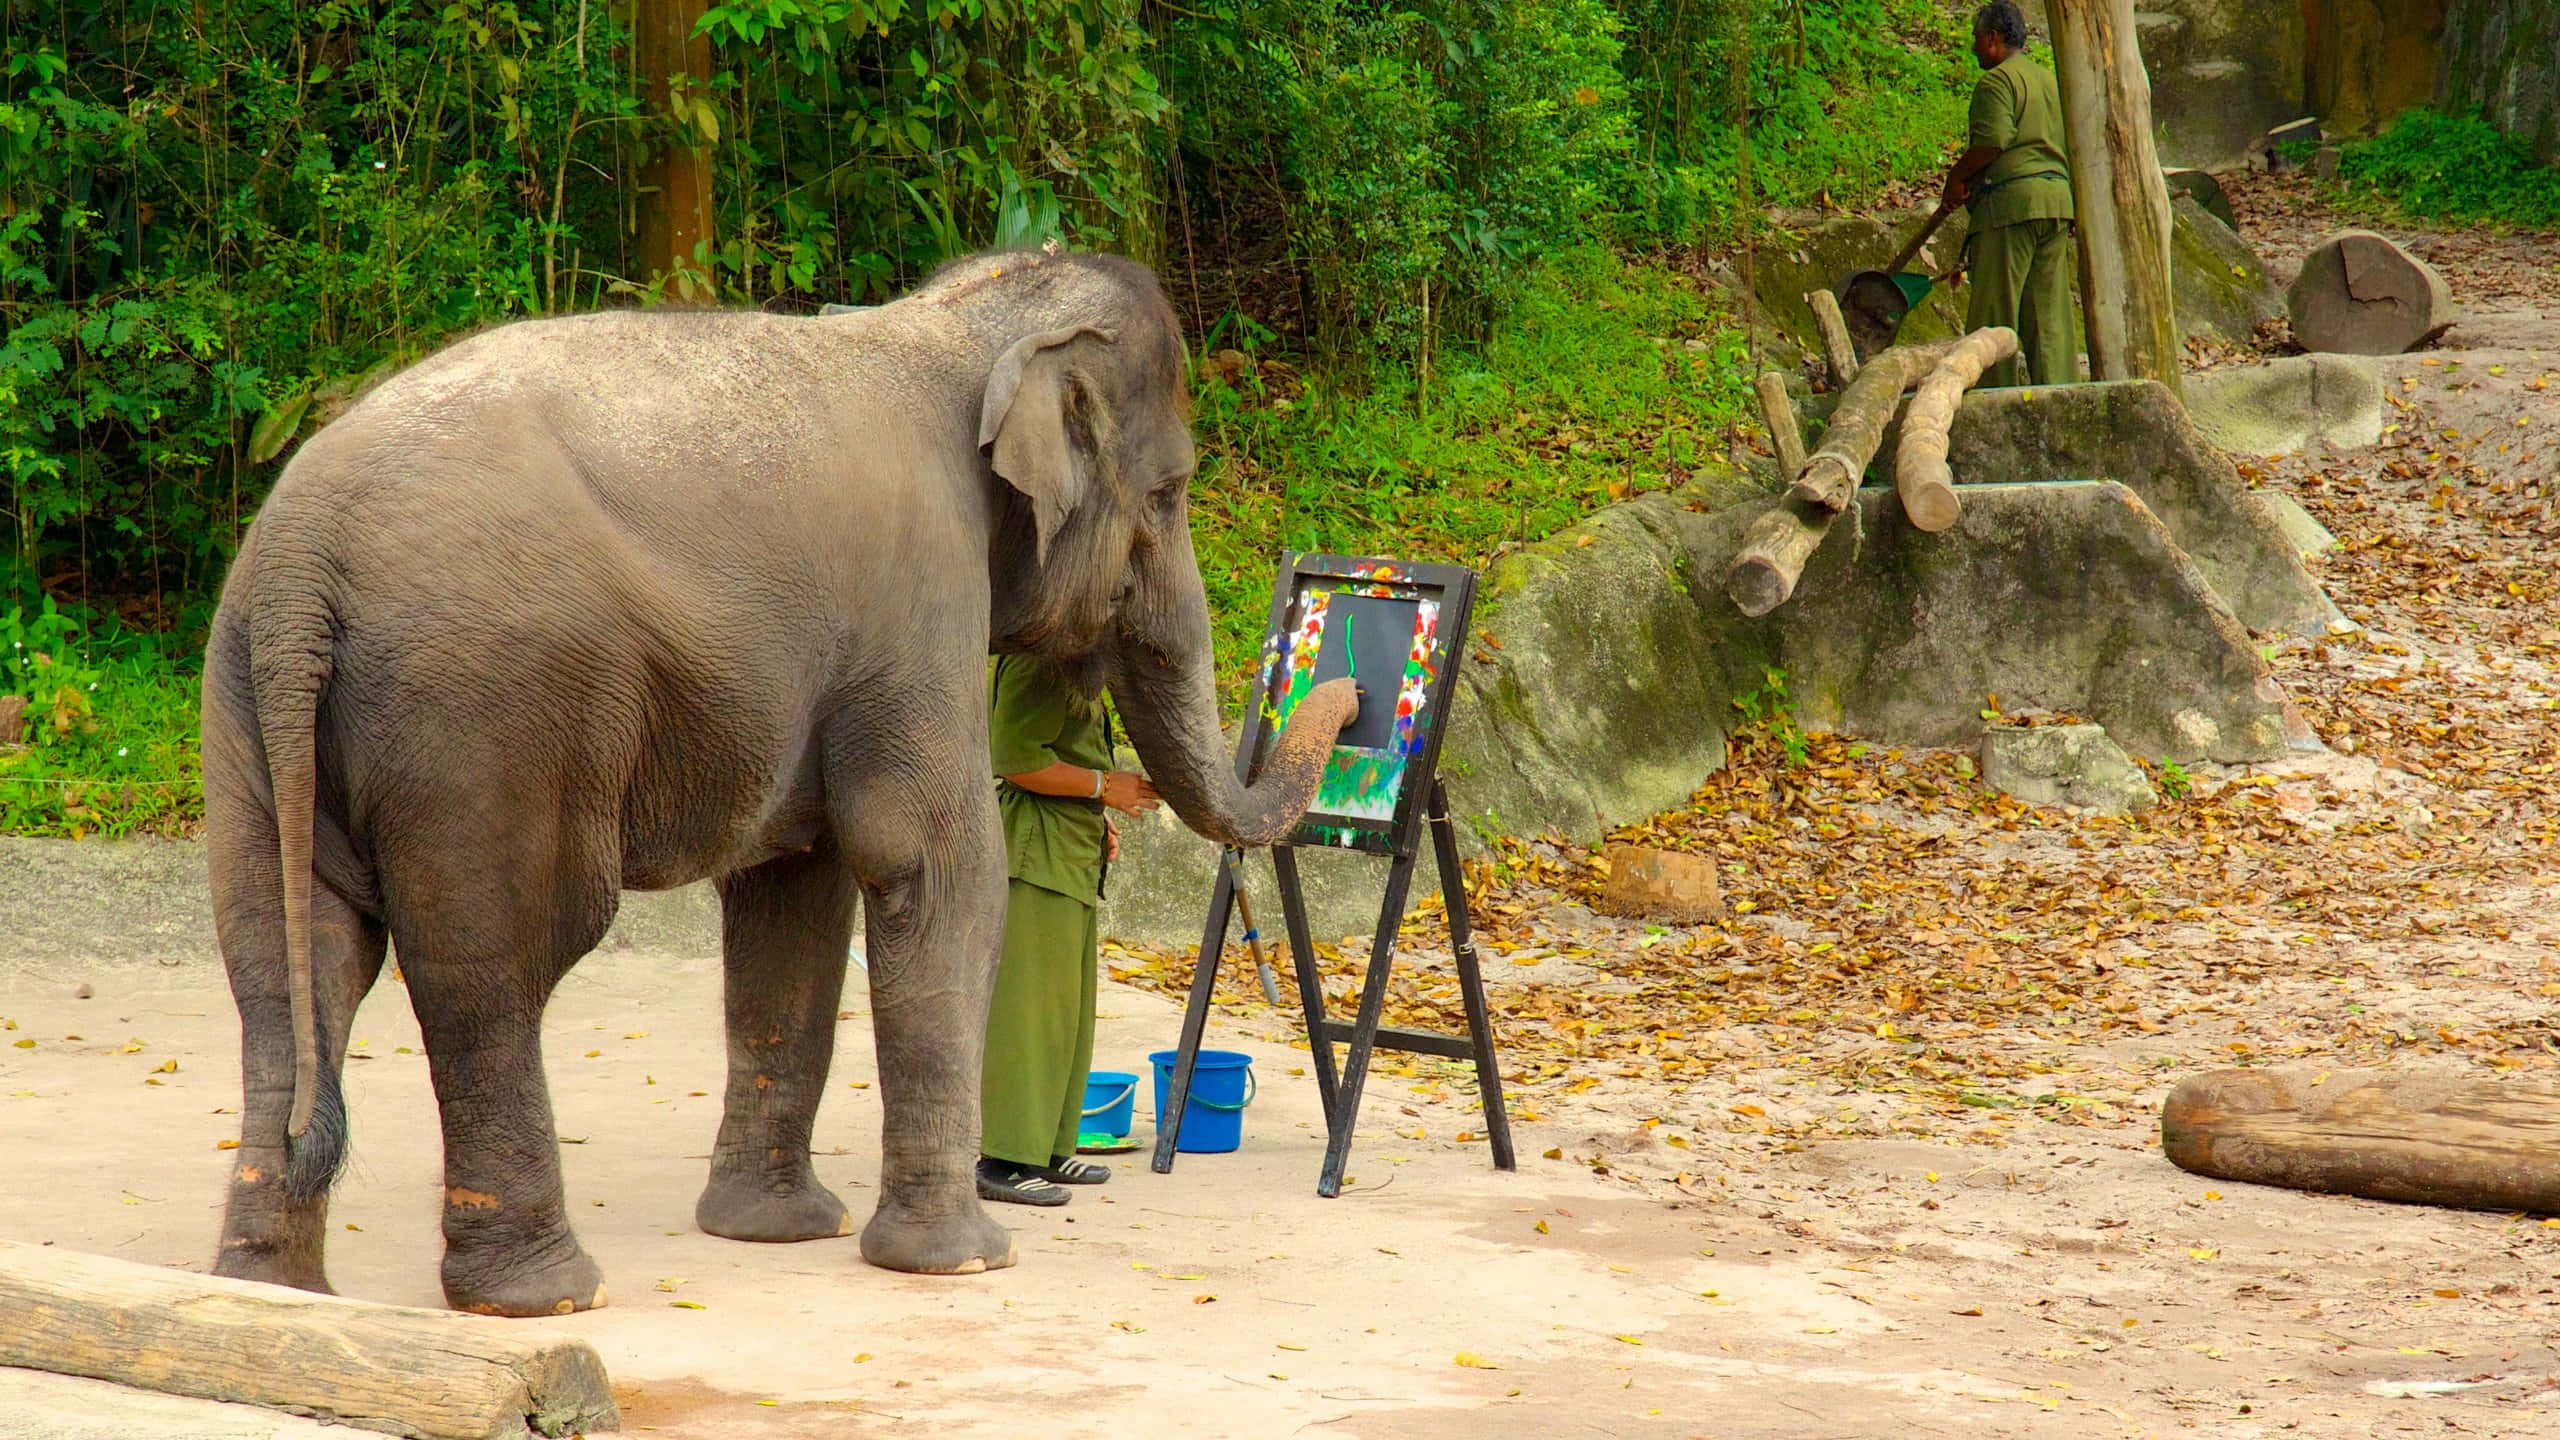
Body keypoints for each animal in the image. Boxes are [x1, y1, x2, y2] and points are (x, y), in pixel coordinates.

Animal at [204, 247, 1359, 1316]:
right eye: (1170, 493)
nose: (1346, 688)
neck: (954, 325)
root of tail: (303, 554)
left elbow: (794, 894)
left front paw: (776, 1233)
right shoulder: (920, 600)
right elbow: (933, 870)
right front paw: (964, 1260)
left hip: (249, 703)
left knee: (287, 966)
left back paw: (274, 1295)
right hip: (486, 712)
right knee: (490, 970)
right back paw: (544, 1298)